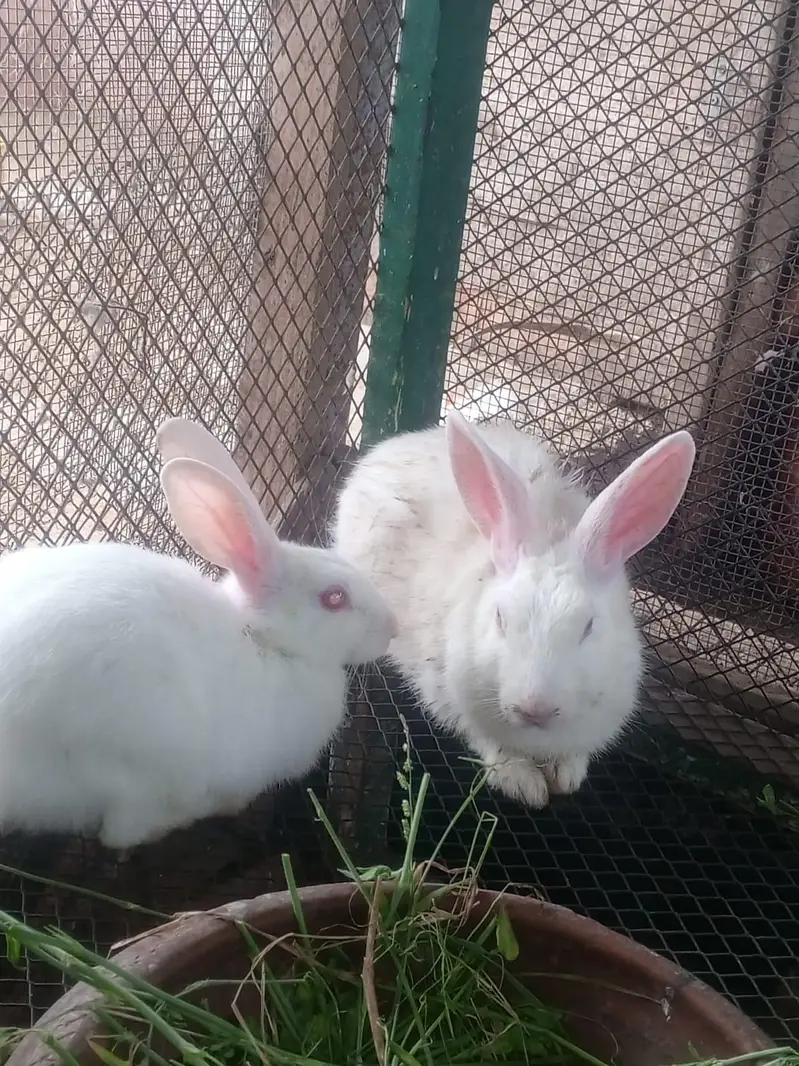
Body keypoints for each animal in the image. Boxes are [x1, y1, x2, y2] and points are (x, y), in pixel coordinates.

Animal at [332, 410, 695, 808]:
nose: (534, 708)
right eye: (500, 618)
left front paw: (567, 777)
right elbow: (491, 745)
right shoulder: (449, 695)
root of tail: (401, 443)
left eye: (588, 626)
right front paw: (525, 786)